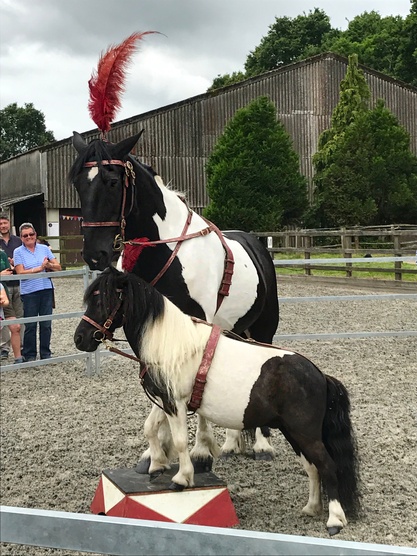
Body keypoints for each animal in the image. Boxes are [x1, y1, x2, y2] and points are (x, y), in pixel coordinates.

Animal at [70, 132, 280, 466]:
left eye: (112, 181)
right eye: (78, 184)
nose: (94, 254)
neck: (165, 252)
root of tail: (257, 243)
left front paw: (199, 448)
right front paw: (160, 452)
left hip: (264, 328)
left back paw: (261, 444)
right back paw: (231, 441)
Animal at [74, 268, 358, 536]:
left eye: (102, 299)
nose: (80, 338)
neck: (171, 344)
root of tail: (320, 375)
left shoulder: (175, 403)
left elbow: (179, 441)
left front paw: (181, 478)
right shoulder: (164, 400)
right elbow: (150, 428)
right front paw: (157, 464)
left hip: (305, 433)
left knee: (327, 466)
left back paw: (334, 520)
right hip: (293, 432)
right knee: (312, 467)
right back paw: (311, 507)